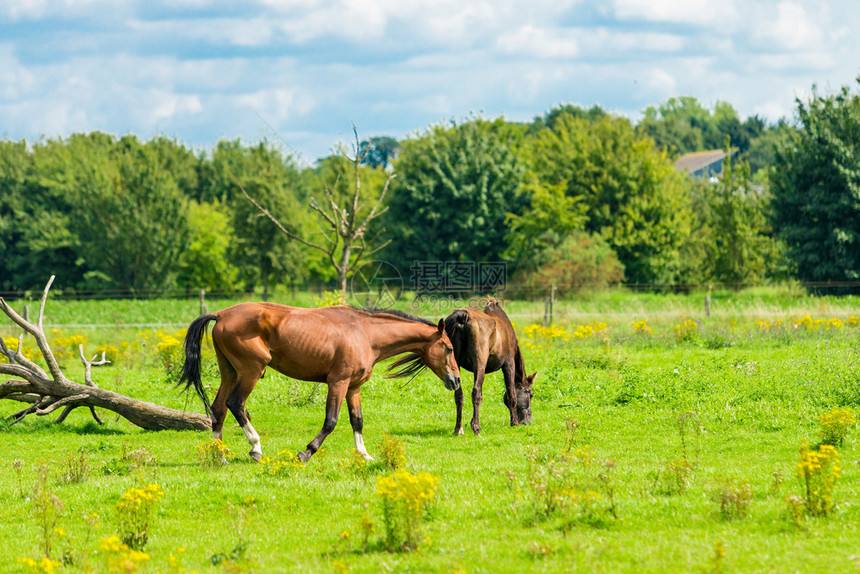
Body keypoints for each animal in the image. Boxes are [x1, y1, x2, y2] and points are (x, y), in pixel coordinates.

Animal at [179, 304, 460, 466]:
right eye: (449, 348)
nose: (456, 380)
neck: (366, 333)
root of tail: (221, 314)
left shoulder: (354, 387)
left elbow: (357, 420)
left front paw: (364, 455)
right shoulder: (338, 383)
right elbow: (331, 421)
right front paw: (306, 452)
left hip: (230, 373)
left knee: (218, 410)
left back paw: (220, 456)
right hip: (251, 371)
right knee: (235, 404)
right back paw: (255, 448)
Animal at [446, 302, 536, 436]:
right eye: (530, 394)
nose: (527, 422)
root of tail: (463, 317)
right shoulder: (509, 365)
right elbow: (511, 394)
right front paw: (514, 423)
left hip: (455, 364)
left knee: (459, 395)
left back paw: (458, 428)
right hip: (480, 364)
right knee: (476, 392)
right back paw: (476, 428)